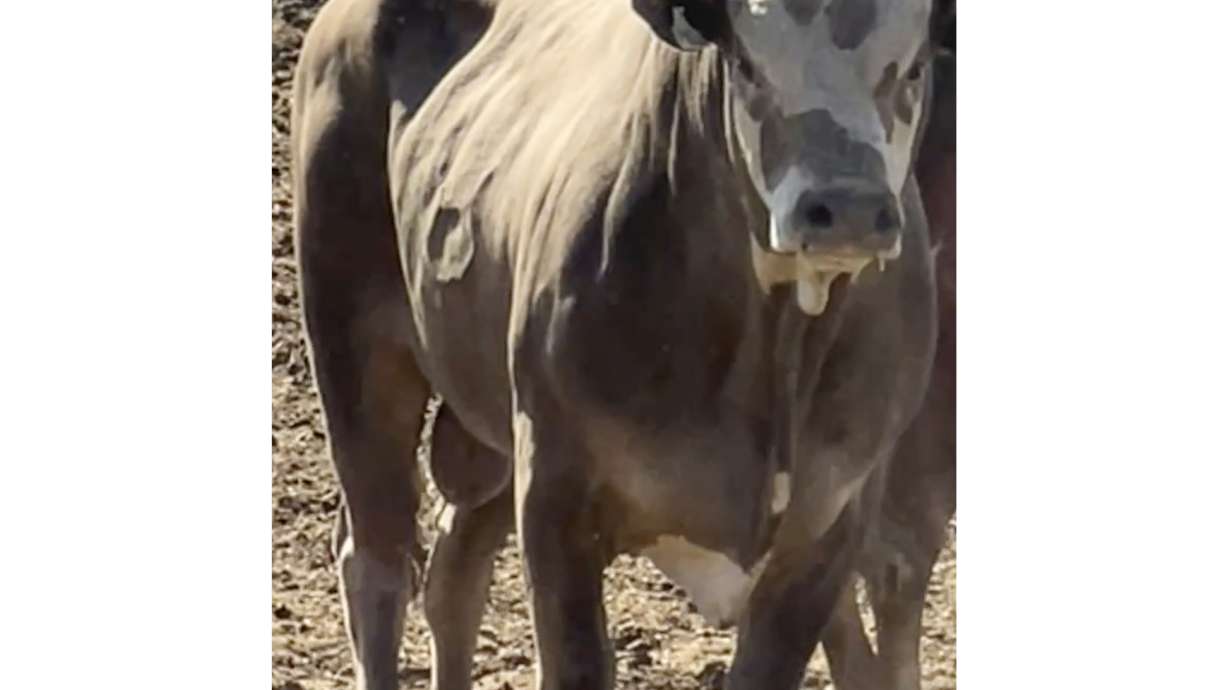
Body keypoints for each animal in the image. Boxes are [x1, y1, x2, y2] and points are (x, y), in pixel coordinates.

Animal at [290, 1, 951, 689]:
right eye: (746, 63)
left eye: (916, 66)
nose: (847, 208)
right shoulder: (555, 493)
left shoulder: (829, 524)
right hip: (353, 348)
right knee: (377, 561)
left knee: (455, 565)